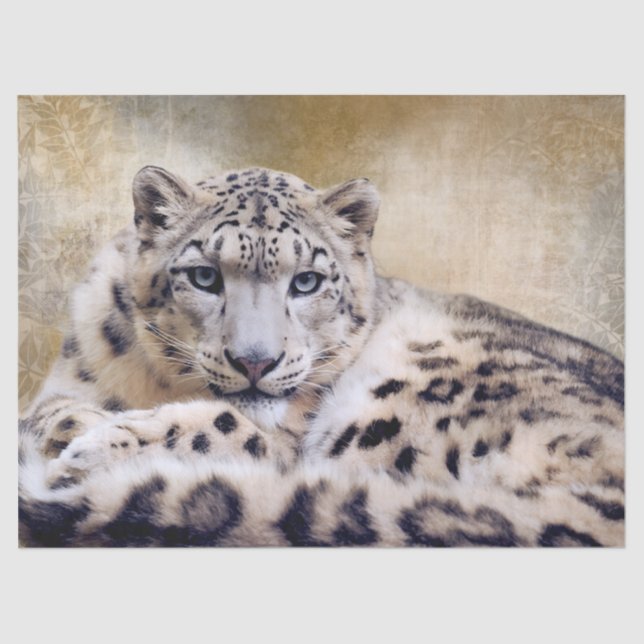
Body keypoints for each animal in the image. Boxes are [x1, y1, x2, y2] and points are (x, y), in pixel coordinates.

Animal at [18, 165, 625, 547]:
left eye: (307, 280)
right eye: (204, 276)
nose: (255, 361)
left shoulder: (286, 443)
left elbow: (227, 428)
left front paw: (91, 450)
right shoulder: (66, 376)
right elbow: (49, 412)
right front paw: (77, 431)